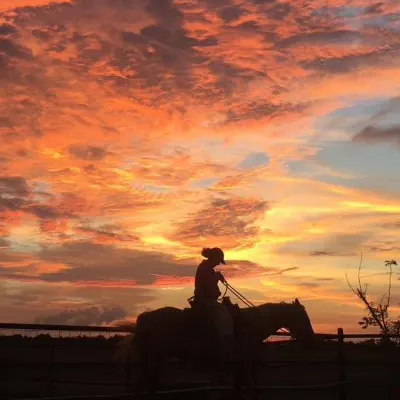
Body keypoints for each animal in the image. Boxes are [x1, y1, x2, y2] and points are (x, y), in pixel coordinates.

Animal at [117, 296, 314, 396]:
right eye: (304, 317)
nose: (311, 338)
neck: (250, 325)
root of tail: (144, 318)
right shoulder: (243, 362)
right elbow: (248, 386)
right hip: (152, 359)